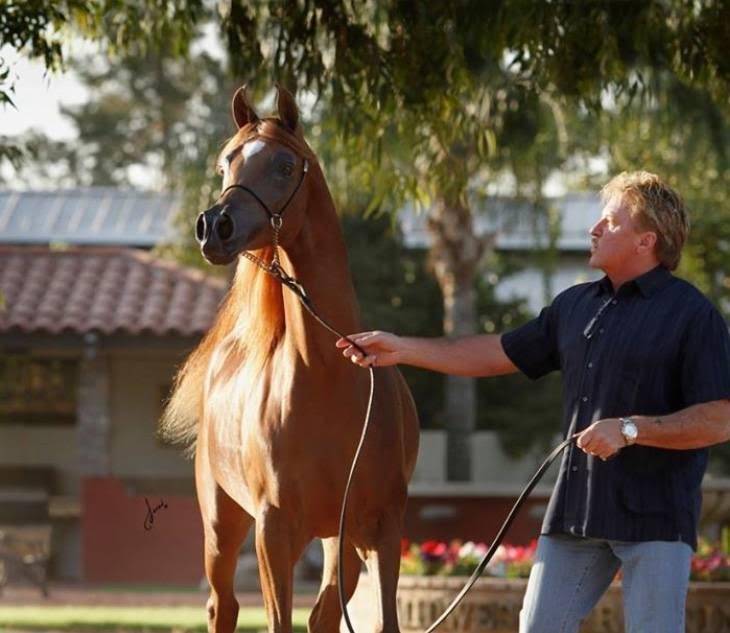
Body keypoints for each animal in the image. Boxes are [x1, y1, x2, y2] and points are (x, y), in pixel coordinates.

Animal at [161, 85, 418, 632]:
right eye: (225, 164)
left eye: (283, 165)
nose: (214, 227)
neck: (329, 380)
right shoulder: (274, 532)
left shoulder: (381, 529)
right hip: (223, 528)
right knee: (223, 606)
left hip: (339, 543)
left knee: (321, 615)